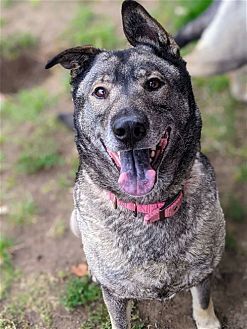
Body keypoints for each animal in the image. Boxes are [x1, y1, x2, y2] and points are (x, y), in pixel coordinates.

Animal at [45, 1, 225, 326]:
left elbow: (203, 301)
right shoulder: (115, 295)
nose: (128, 128)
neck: (150, 207)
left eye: (153, 83)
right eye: (100, 92)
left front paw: (208, 322)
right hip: (74, 221)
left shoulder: (204, 270)